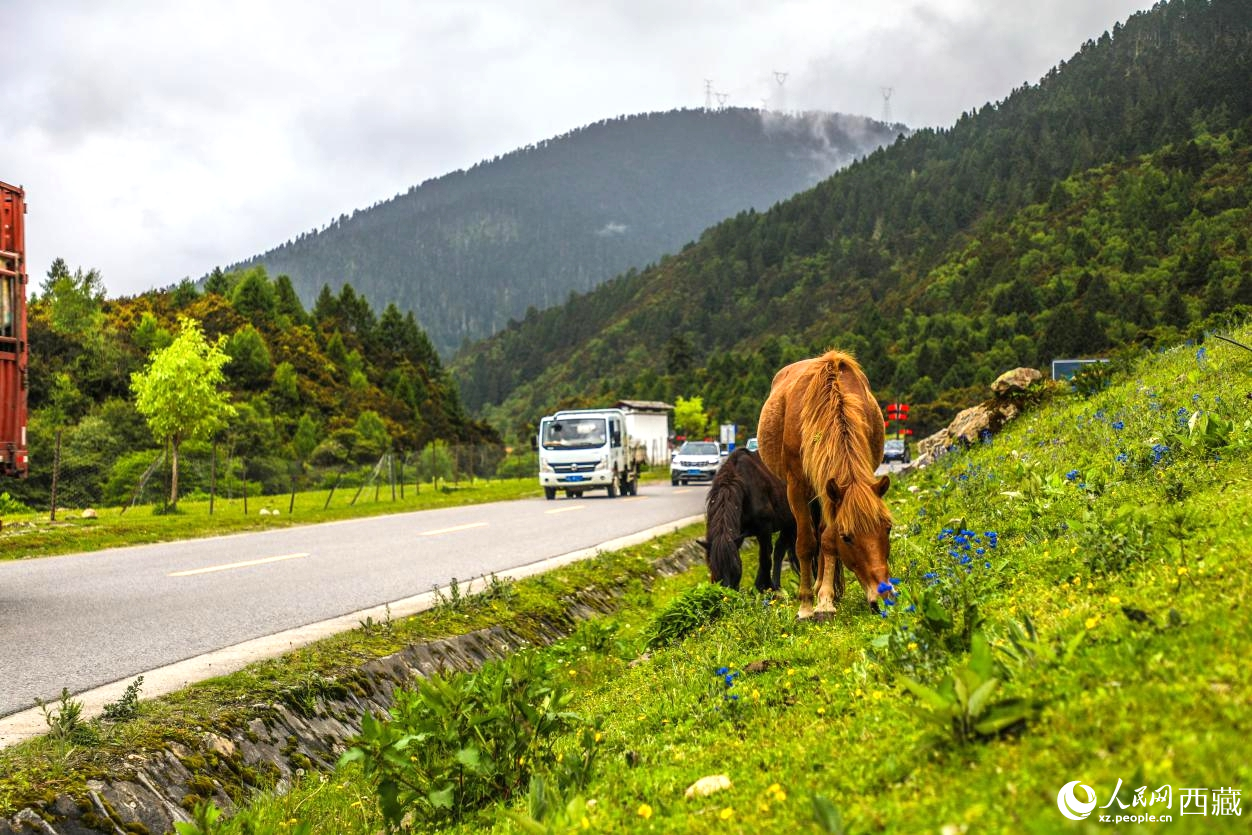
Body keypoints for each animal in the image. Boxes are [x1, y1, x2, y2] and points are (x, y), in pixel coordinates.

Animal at [751, 350, 891, 618]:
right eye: (847, 537)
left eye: (888, 528)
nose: (884, 596)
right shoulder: (796, 487)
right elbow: (806, 543)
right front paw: (806, 605)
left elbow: (827, 540)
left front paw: (826, 599)